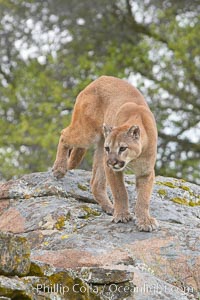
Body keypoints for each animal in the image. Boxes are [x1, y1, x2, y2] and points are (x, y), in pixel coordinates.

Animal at [52, 75, 159, 232]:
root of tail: (100, 78)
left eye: (122, 148)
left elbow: (143, 198)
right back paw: (59, 169)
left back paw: (109, 207)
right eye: (109, 148)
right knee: (64, 134)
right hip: (89, 133)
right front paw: (122, 215)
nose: (112, 161)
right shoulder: (112, 170)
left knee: (95, 183)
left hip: (100, 148)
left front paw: (145, 221)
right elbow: (120, 192)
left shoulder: (146, 172)